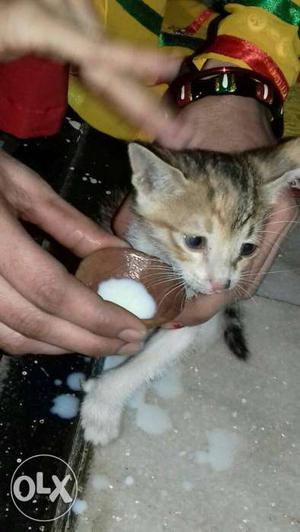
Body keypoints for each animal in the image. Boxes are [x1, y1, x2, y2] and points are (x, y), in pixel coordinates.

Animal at [81, 137, 298, 444]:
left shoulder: (189, 314)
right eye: (194, 241)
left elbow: (152, 360)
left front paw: (103, 407)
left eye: (248, 249)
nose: (222, 285)